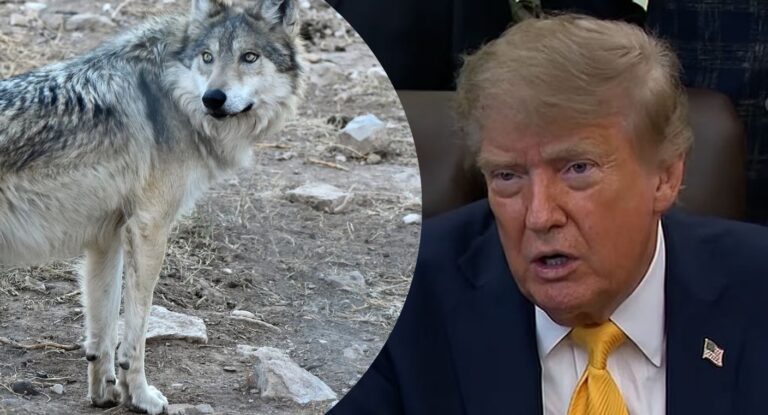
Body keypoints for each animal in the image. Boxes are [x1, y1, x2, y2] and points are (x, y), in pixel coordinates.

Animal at [0, 0, 304, 412]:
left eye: (249, 57)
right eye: (207, 57)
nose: (213, 98)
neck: (172, 96)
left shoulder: (106, 238)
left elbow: (102, 332)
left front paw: (105, 394)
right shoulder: (150, 229)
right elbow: (136, 332)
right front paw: (140, 396)